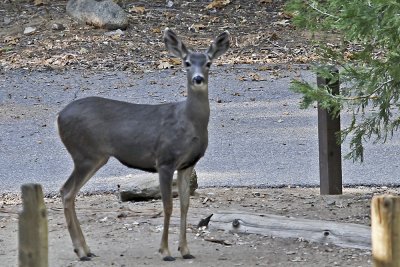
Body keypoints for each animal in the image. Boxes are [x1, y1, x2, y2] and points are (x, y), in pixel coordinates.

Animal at [57, 28, 230, 262]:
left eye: (208, 63)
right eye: (186, 62)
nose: (198, 78)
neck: (190, 123)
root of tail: (58, 117)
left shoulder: (187, 164)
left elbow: (185, 205)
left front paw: (185, 250)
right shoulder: (165, 160)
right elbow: (168, 206)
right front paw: (165, 252)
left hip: (94, 157)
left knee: (69, 192)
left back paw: (86, 249)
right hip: (85, 154)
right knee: (67, 192)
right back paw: (81, 252)